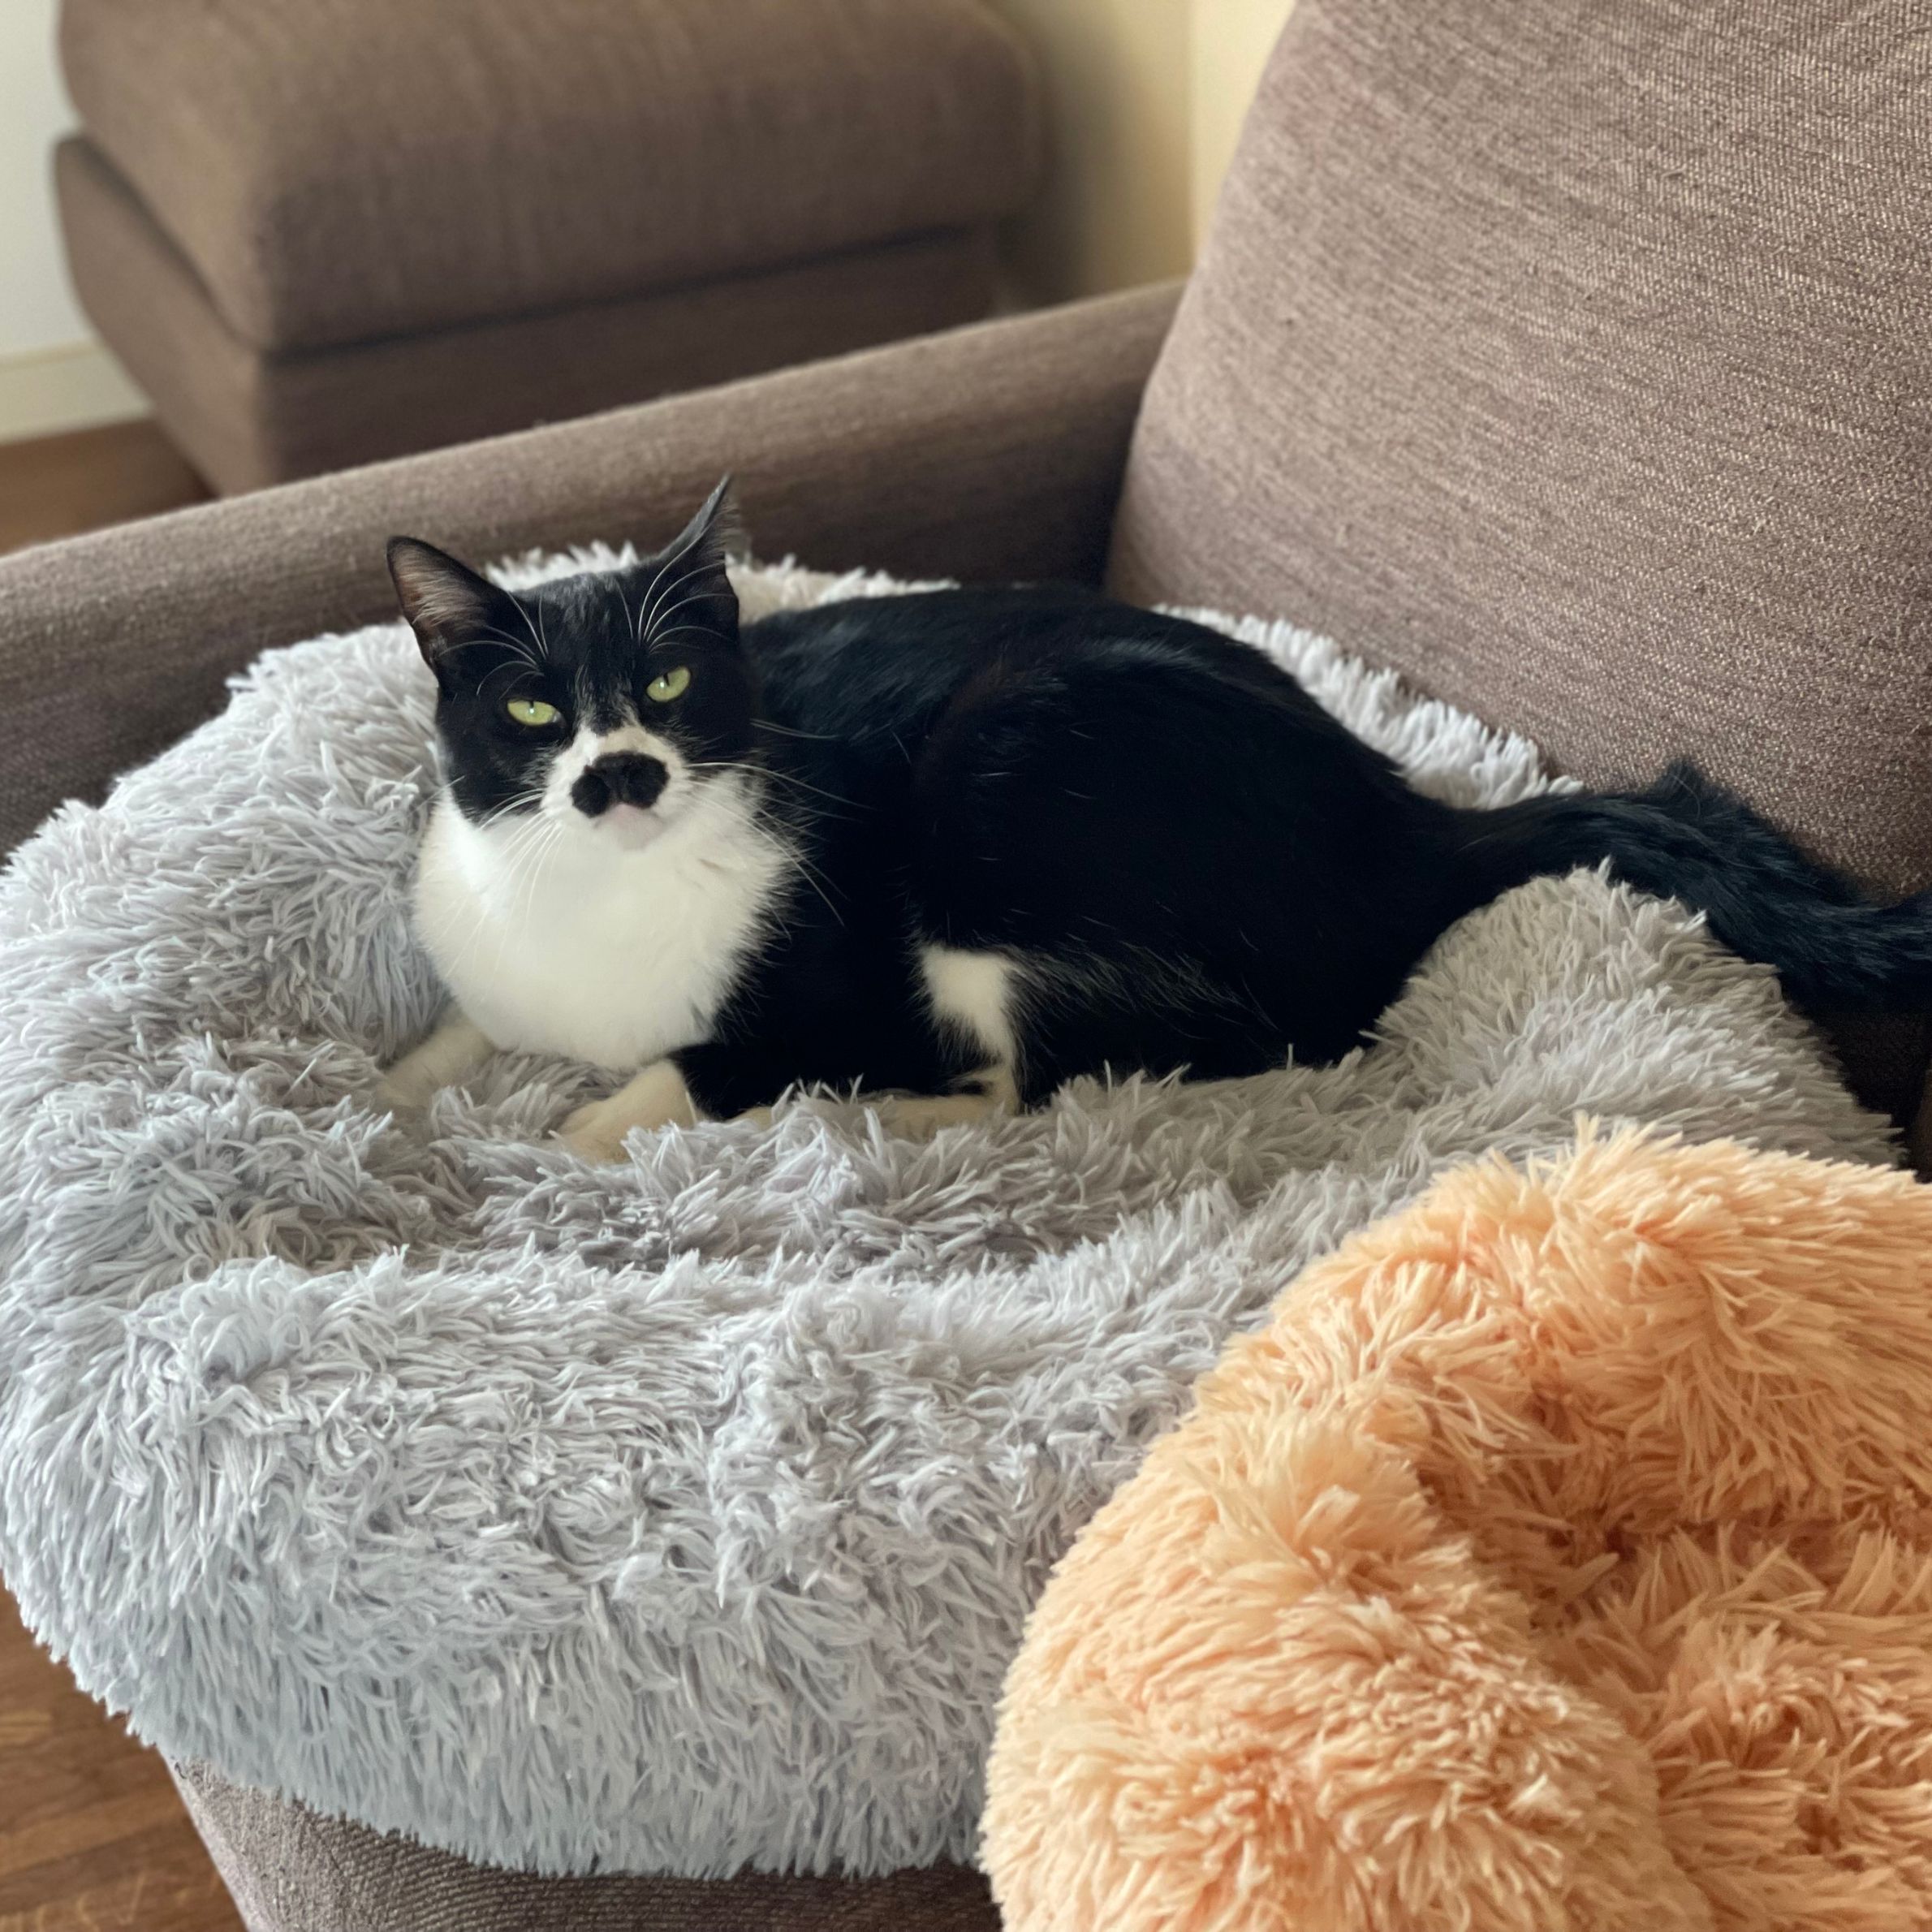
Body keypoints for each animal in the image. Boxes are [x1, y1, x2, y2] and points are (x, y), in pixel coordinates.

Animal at [379, 481, 1932, 1160]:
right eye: (531, 711)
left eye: (670, 683)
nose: (621, 776)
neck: (588, 904)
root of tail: (1410, 822)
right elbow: (452, 1029)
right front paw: (388, 1091)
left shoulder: (832, 982)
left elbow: (703, 1064)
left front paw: (584, 1131)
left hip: (1001, 797)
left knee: (1130, 1063)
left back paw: (892, 1117)